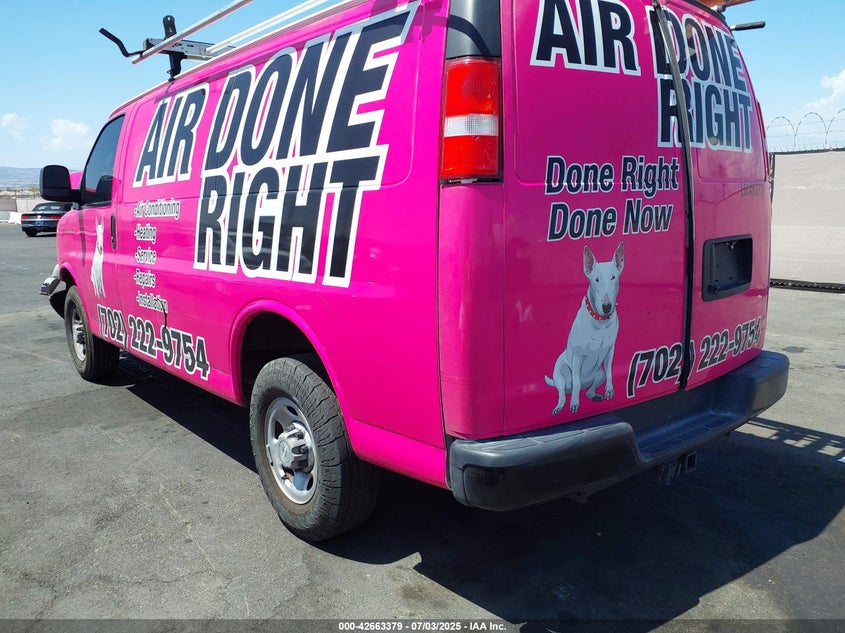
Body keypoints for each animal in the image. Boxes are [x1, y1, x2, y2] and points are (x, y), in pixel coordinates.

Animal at [545, 241, 624, 414]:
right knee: (564, 390)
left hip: (599, 374)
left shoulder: (610, 350)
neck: (600, 323)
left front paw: (609, 390)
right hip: (561, 372)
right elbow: (576, 382)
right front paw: (574, 403)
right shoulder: (577, 356)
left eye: (613, 277)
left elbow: (610, 371)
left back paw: (593, 395)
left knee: (589, 388)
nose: (606, 307)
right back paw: (561, 405)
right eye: (596, 279)